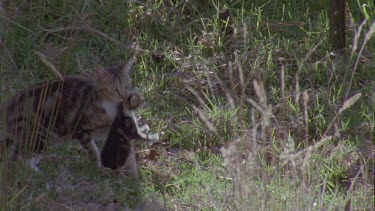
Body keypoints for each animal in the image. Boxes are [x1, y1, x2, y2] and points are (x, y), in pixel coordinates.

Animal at [3, 55, 138, 171]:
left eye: (127, 86)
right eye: (114, 90)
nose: (125, 98)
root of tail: (8, 108)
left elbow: (129, 154)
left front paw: (132, 176)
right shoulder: (80, 129)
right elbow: (92, 150)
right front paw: (97, 166)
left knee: (15, 154)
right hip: (41, 133)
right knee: (21, 156)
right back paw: (35, 173)